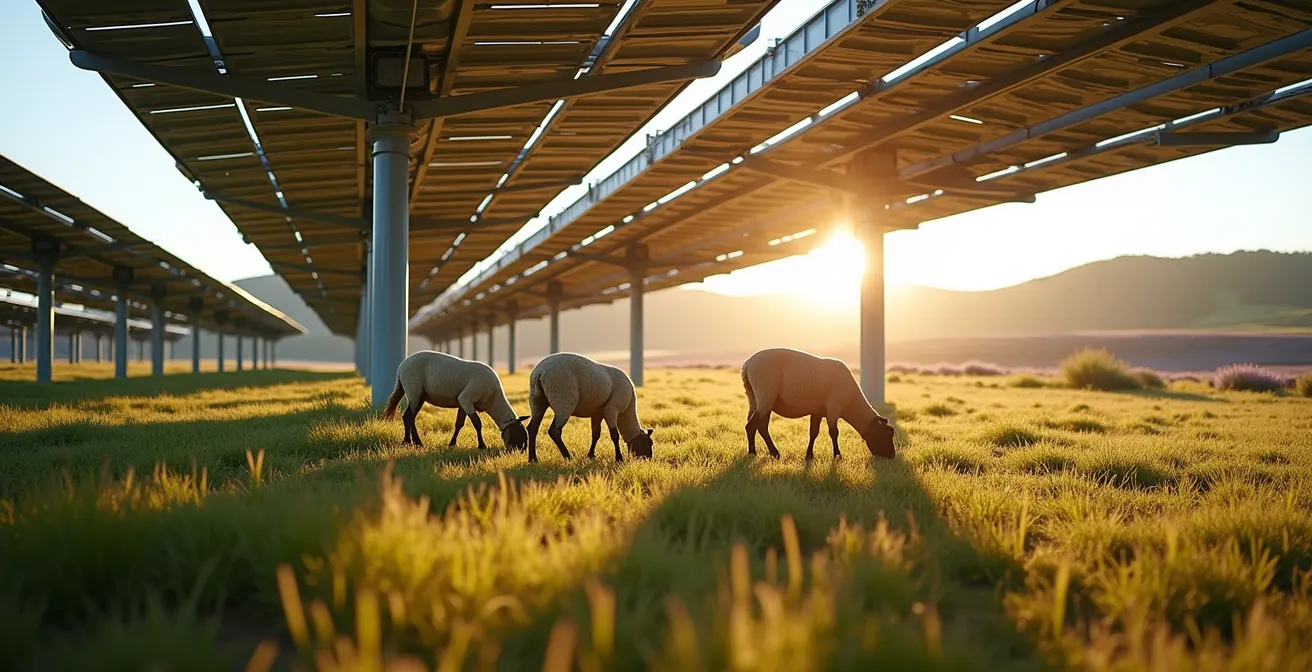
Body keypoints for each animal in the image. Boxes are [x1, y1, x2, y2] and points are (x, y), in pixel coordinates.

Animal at [382, 350, 529, 450]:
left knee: (410, 416)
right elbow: (477, 423)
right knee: (408, 416)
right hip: (414, 389)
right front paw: (482, 445)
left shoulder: (462, 403)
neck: (493, 399)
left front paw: (452, 444)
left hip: (419, 394)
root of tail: (401, 367)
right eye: (518, 434)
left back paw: (413, 442)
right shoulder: (466, 398)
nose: (514, 451)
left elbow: (459, 424)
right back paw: (411, 442)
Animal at [526, 352, 654, 463]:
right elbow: (614, 435)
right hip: (563, 400)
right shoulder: (612, 409)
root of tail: (540, 372)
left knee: (532, 428)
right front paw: (619, 458)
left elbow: (595, 434)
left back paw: (533, 459)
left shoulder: (597, 413)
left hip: (536, 400)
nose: (648, 459)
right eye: (649, 443)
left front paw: (591, 455)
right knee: (554, 431)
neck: (627, 412)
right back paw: (568, 457)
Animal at [740, 347, 895, 460]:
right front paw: (837, 456)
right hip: (765, 395)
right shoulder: (834, 406)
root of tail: (747, 365)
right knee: (760, 426)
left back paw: (752, 452)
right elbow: (834, 432)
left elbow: (813, 432)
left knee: (750, 425)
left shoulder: (818, 411)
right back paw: (774, 453)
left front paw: (809, 455)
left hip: (753, 397)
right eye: (888, 434)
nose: (892, 456)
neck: (852, 404)